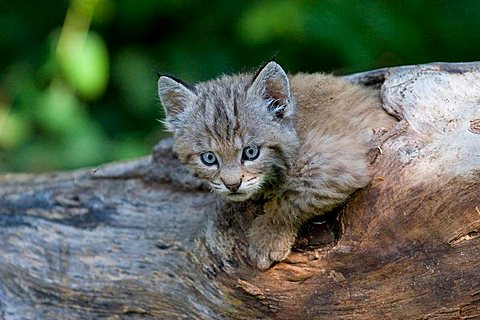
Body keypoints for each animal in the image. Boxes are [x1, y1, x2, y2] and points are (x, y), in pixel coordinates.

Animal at [158, 60, 394, 270]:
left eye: (251, 152)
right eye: (209, 158)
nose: (232, 185)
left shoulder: (338, 164)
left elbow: (290, 200)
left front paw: (267, 239)